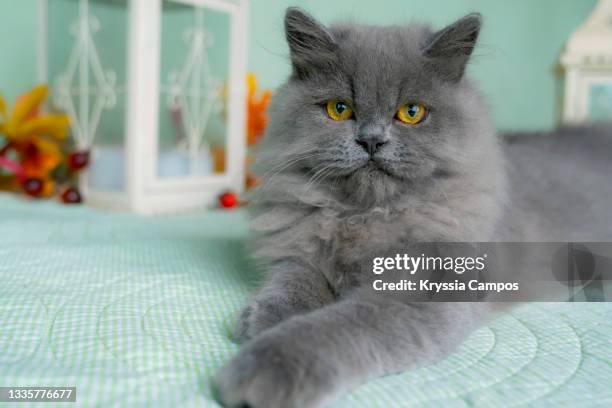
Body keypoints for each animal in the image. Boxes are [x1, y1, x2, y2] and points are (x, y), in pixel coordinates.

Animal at [214, 7, 612, 408]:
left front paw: (265, 366)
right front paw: (265, 317)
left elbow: (334, 327)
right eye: (339, 109)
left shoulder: (418, 294)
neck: (364, 216)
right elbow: (292, 279)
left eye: (411, 113)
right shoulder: (299, 251)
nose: (371, 140)